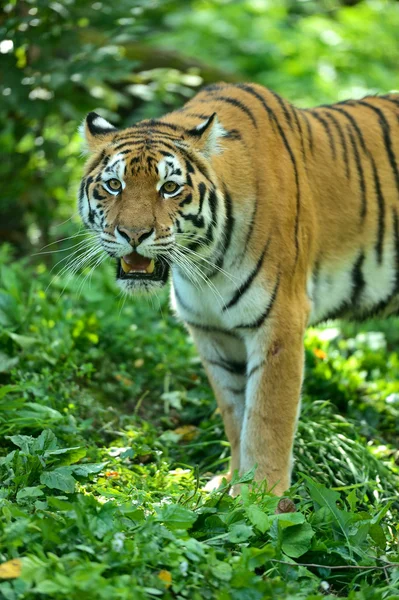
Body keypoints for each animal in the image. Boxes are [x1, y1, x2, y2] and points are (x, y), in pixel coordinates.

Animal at [78, 83, 399, 496]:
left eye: (169, 188)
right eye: (114, 185)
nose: (133, 235)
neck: (202, 263)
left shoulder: (280, 323)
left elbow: (266, 419)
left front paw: (260, 496)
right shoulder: (213, 331)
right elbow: (235, 414)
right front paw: (232, 484)